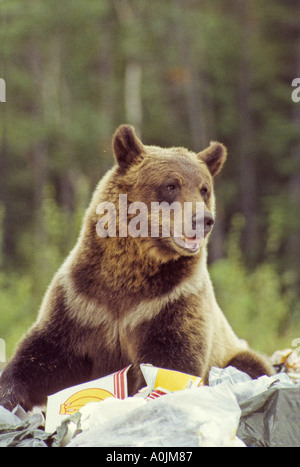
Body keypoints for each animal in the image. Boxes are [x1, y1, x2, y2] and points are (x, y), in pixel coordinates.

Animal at [0, 126, 272, 412]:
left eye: (204, 189)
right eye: (171, 185)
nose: (203, 220)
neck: (132, 272)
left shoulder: (170, 301)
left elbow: (171, 362)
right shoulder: (81, 301)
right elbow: (45, 353)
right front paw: (9, 394)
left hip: (234, 353)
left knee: (250, 365)